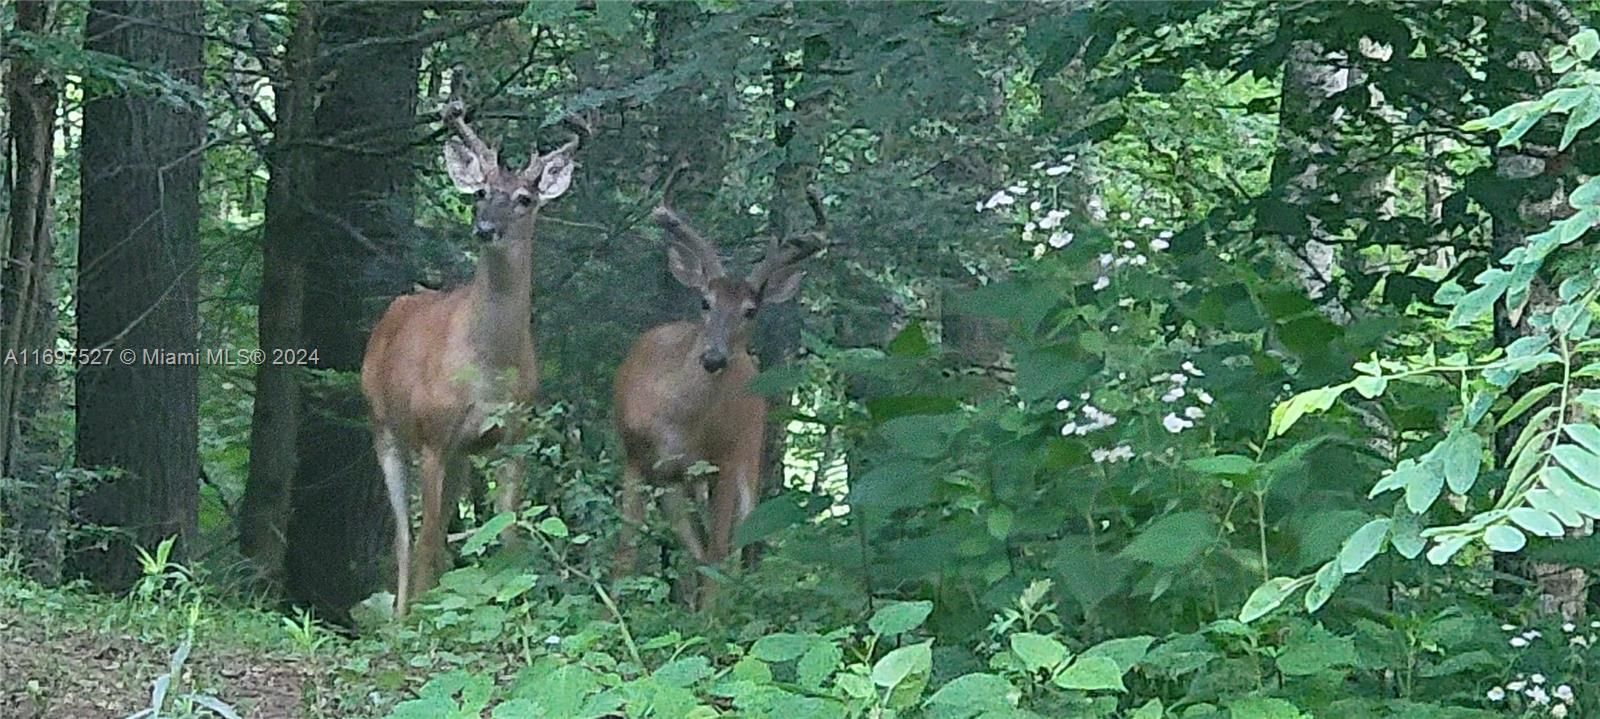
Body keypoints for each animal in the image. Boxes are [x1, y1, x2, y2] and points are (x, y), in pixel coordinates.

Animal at [360, 98, 592, 614]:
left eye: (525, 198)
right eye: (480, 192)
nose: (484, 229)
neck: (487, 367)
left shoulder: (514, 436)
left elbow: (508, 539)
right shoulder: (431, 435)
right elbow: (427, 539)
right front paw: (421, 617)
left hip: (461, 453)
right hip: (385, 426)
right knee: (406, 536)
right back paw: (402, 613)